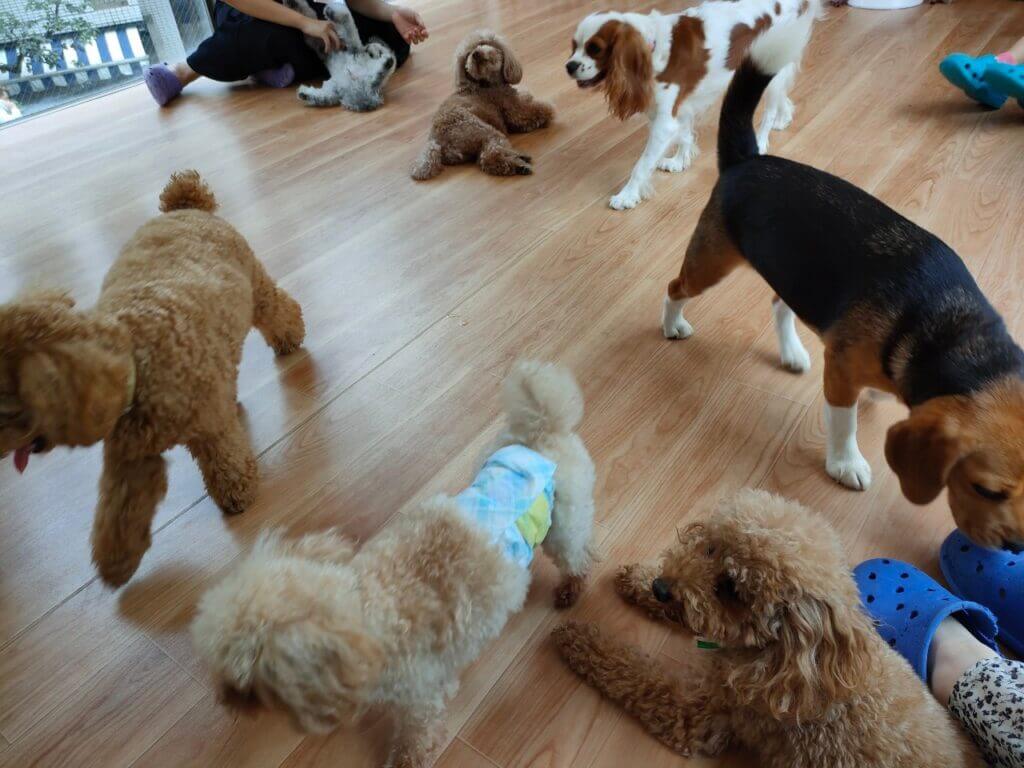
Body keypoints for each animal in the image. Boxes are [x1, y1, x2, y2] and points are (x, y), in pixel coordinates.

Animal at [565, 0, 819, 210]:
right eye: (574, 46)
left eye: (595, 48)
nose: (569, 66)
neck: (652, 48)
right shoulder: (683, 106)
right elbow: (685, 134)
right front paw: (679, 161)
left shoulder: (664, 123)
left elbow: (641, 165)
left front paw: (627, 196)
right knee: (783, 96)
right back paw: (784, 118)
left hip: (770, 64)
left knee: (769, 110)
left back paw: (764, 139)